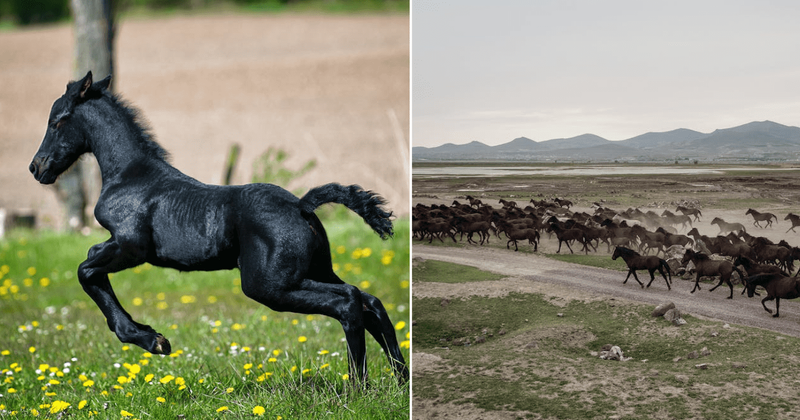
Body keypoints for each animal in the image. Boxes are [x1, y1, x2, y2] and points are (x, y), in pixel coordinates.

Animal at [28, 72, 407, 385]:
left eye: (57, 121)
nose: (36, 167)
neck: (131, 175)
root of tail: (301, 205)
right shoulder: (118, 246)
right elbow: (91, 265)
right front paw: (150, 335)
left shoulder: (131, 247)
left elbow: (86, 270)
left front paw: (153, 340)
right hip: (313, 271)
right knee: (369, 301)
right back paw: (399, 380)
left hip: (270, 285)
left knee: (349, 302)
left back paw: (358, 386)